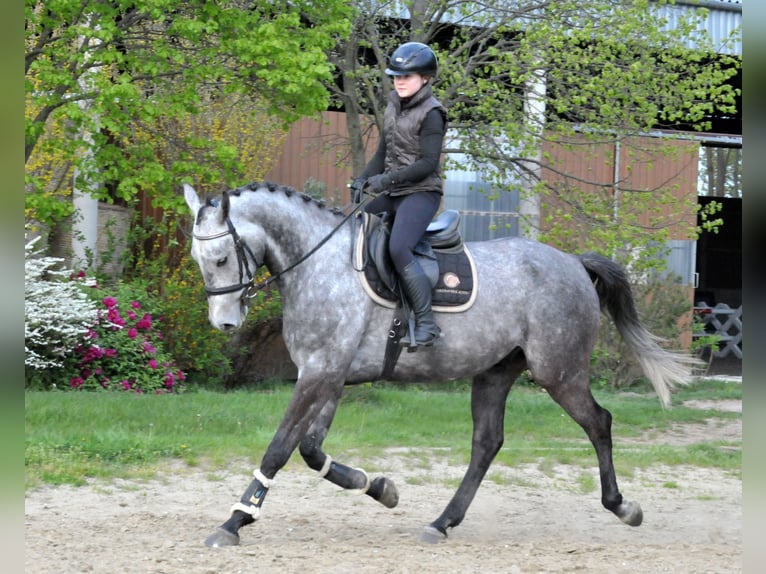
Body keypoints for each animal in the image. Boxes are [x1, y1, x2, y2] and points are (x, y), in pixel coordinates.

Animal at [183, 180, 697, 548]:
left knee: (599, 423)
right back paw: (443, 521)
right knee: (487, 443)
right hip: (495, 373)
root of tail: (572, 262)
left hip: (559, 372)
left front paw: (235, 520)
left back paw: (622, 506)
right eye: (198, 258)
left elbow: (279, 447)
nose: (224, 323)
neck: (321, 263)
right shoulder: (328, 375)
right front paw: (380, 488)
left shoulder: (320, 373)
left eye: (222, 257)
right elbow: (309, 450)